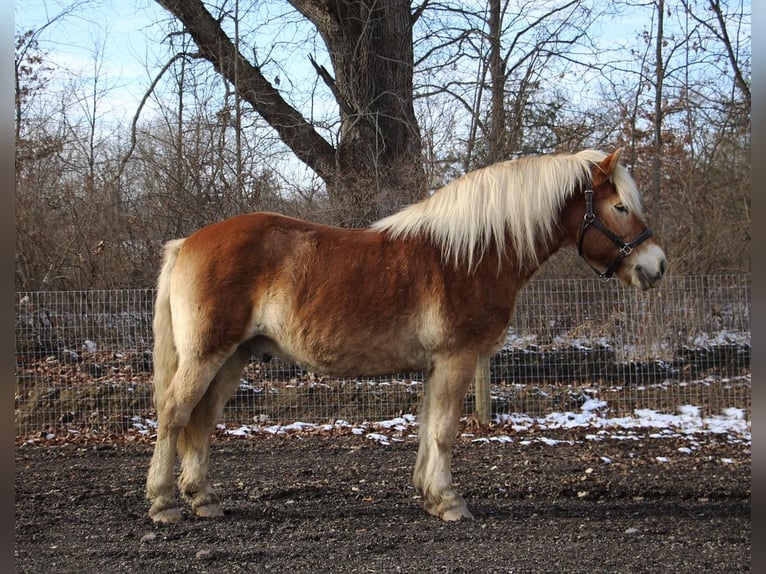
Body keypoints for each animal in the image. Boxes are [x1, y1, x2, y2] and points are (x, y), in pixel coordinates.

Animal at [144, 150, 664, 528]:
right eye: (619, 207)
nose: (655, 266)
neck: (471, 254)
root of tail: (187, 242)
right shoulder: (457, 359)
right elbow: (445, 431)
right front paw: (451, 502)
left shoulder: (438, 365)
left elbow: (428, 428)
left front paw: (431, 496)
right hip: (206, 354)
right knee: (174, 415)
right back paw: (164, 503)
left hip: (232, 357)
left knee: (202, 421)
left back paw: (203, 498)